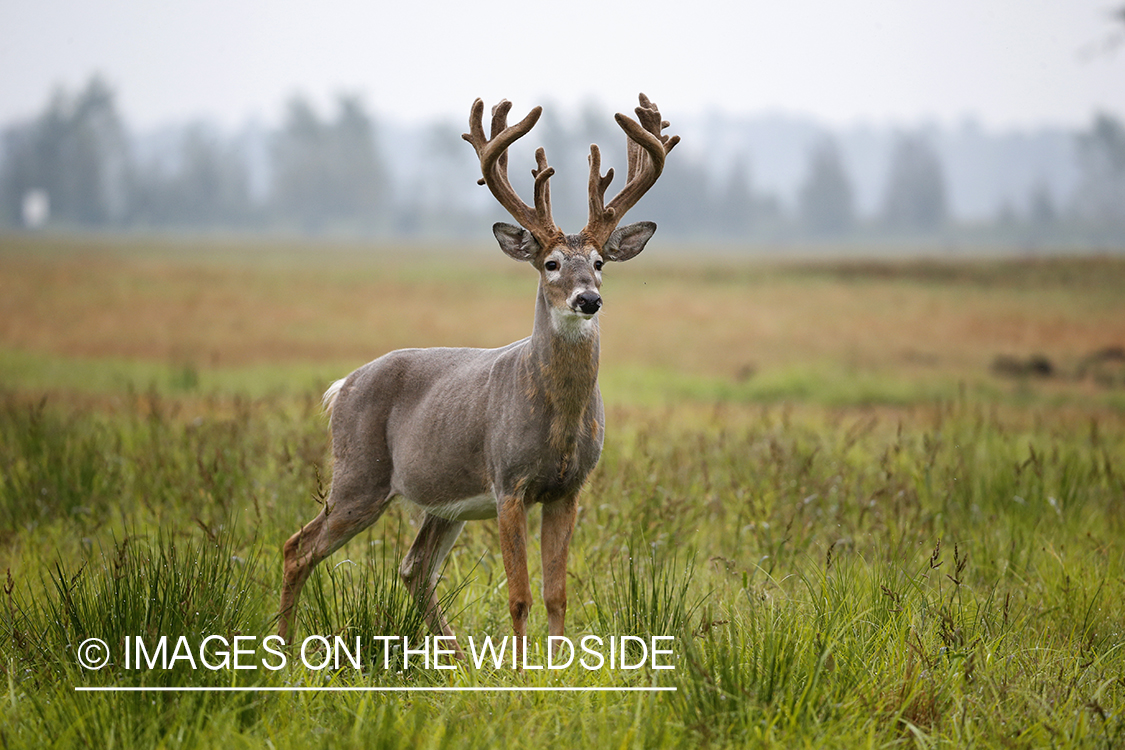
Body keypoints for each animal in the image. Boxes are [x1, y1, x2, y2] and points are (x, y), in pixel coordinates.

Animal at [276, 92, 679, 656]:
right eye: (551, 263)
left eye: (600, 262)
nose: (589, 299)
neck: (557, 419)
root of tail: (342, 386)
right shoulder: (508, 481)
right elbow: (520, 595)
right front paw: (522, 667)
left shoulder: (569, 488)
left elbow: (557, 594)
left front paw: (557, 666)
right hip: (359, 473)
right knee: (298, 547)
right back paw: (285, 648)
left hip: (443, 502)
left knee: (414, 567)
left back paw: (456, 656)